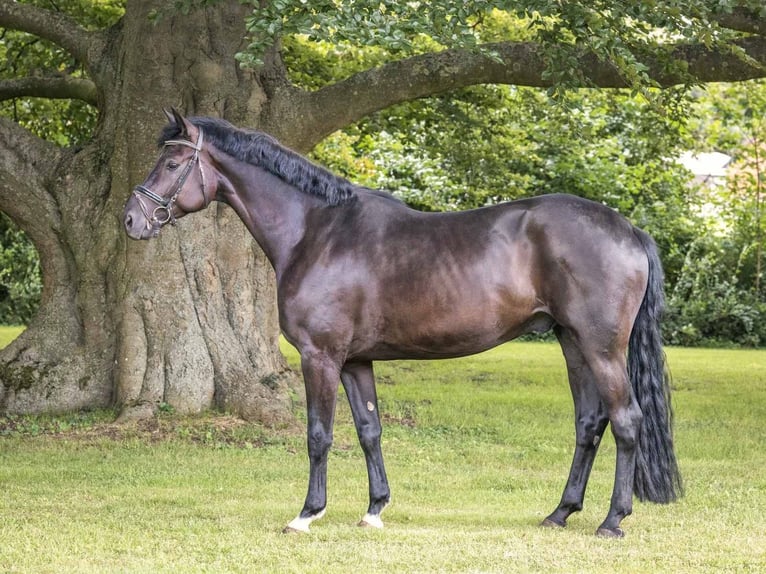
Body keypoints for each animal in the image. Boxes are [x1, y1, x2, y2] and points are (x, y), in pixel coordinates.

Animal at [124, 108, 684, 540]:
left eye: (171, 162)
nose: (132, 220)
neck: (317, 231)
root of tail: (628, 229)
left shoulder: (320, 357)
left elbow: (319, 434)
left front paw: (306, 515)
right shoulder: (355, 361)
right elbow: (369, 430)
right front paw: (374, 510)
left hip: (601, 347)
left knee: (626, 421)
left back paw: (612, 521)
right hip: (572, 343)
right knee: (589, 423)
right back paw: (560, 513)